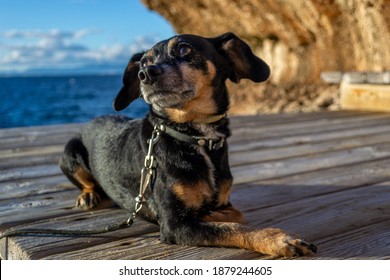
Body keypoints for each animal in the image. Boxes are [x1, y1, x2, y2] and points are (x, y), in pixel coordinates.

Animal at [60, 31, 316, 258]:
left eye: (184, 49)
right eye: (144, 62)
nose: (146, 73)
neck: (196, 136)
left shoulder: (222, 204)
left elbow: (234, 215)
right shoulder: (174, 224)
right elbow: (233, 227)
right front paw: (278, 239)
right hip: (69, 153)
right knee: (87, 182)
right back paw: (88, 196)